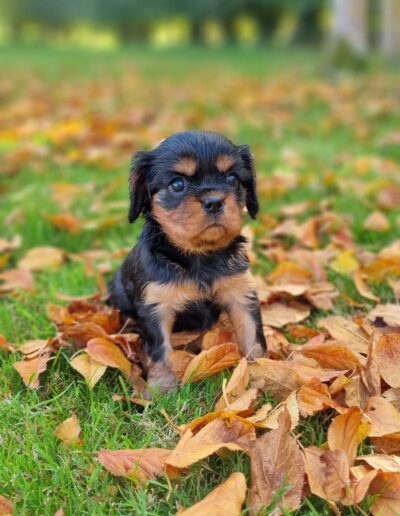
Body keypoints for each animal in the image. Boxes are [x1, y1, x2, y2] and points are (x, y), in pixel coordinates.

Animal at [108, 131, 268, 394]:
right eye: (177, 184)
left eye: (232, 179)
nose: (214, 201)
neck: (199, 255)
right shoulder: (156, 306)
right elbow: (160, 349)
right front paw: (162, 387)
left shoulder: (241, 294)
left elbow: (252, 336)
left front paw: (265, 370)